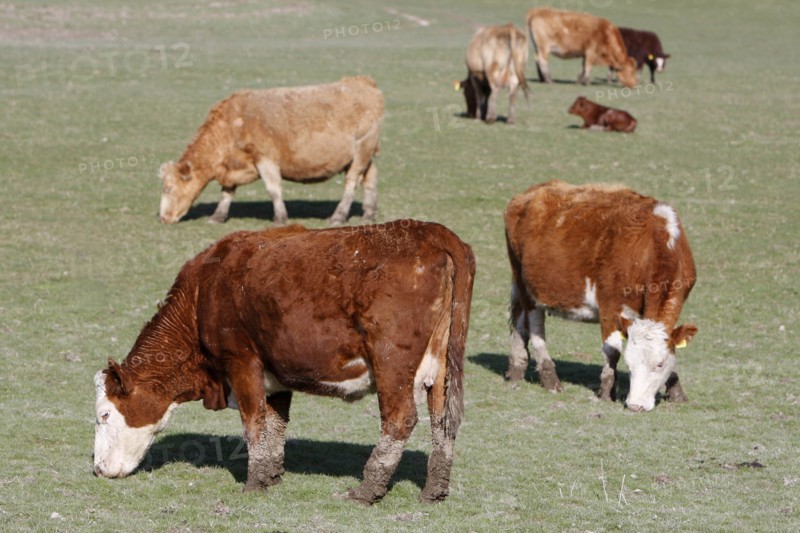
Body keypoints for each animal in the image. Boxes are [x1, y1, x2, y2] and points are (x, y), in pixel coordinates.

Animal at [93, 220, 476, 505]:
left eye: (105, 414)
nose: (97, 469)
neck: (203, 294)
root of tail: (430, 231)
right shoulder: (274, 373)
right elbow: (275, 424)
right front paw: (272, 476)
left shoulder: (242, 361)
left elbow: (253, 424)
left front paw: (253, 484)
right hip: (441, 367)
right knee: (442, 421)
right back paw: (434, 490)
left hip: (391, 363)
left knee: (400, 419)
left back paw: (367, 491)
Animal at [159, 76, 383, 225]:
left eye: (169, 188)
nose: (163, 217)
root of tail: (363, 82)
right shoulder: (233, 165)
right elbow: (227, 192)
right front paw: (218, 216)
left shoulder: (265, 159)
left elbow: (273, 189)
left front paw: (280, 218)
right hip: (365, 155)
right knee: (370, 177)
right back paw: (369, 213)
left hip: (362, 148)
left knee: (352, 182)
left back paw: (338, 216)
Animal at [504, 181, 698, 412]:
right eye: (629, 363)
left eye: (659, 364)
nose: (635, 405)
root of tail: (531, 192)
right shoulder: (610, 306)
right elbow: (612, 351)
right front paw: (606, 392)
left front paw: (677, 392)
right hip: (527, 287)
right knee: (535, 327)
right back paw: (551, 379)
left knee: (519, 320)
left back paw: (516, 369)